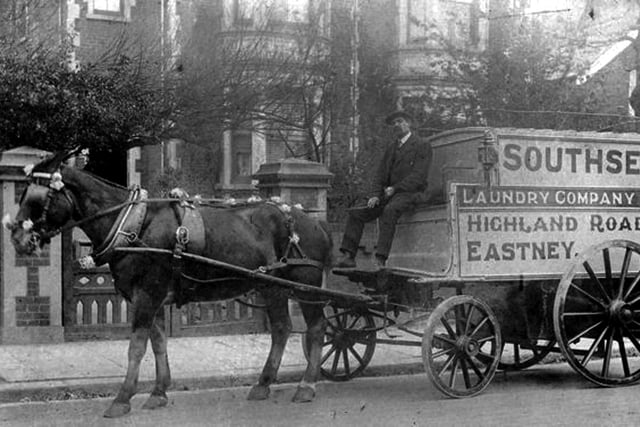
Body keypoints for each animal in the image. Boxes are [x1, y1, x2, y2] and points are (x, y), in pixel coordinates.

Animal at [5, 150, 332, 418]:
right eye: (22, 194)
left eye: (37, 198)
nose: (18, 238)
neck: (133, 224)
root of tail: (313, 221)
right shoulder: (152, 297)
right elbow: (158, 342)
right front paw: (159, 392)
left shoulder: (148, 294)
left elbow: (136, 347)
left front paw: (122, 399)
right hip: (271, 286)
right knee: (282, 329)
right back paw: (263, 384)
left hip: (305, 284)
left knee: (316, 328)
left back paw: (307, 385)